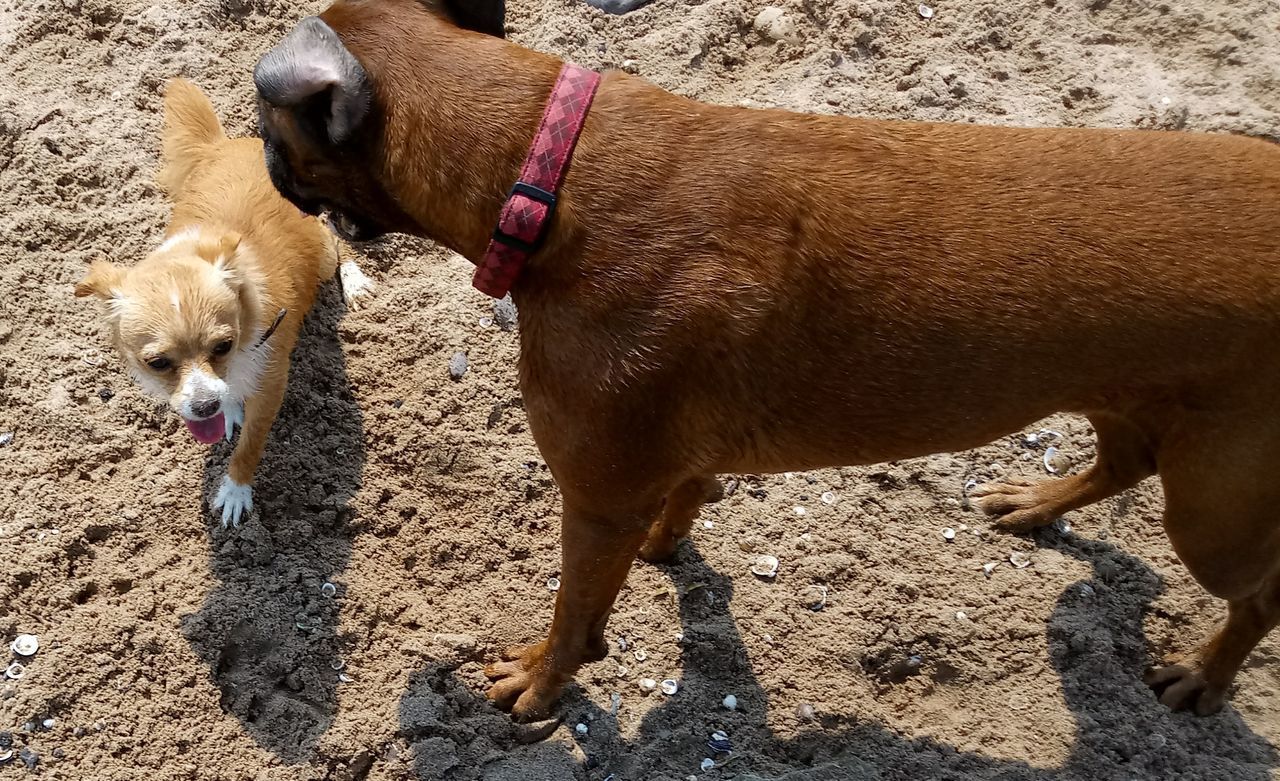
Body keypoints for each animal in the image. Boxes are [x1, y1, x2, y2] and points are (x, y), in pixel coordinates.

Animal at [76, 79, 371, 524]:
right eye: (156, 363)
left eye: (223, 345)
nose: (204, 405)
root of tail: (228, 142)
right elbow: (231, 396)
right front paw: (228, 408)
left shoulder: (271, 383)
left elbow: (250, 445)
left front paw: (235, 490)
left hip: (321, 253)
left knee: (336, 239)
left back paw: (354, 281)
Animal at [254, 0, 1280, 716]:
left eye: (269, 131)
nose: (263, 163)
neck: (544, 172)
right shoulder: (661, 457)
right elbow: (685, 495)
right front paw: (672, 544)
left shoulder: (595, 500)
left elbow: (573, 619)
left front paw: (542, 685)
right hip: (1132, 398)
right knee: (1125, 458)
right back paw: (1038, 501)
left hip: (1215, 511)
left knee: (1259, 595)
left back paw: (1203, 675)